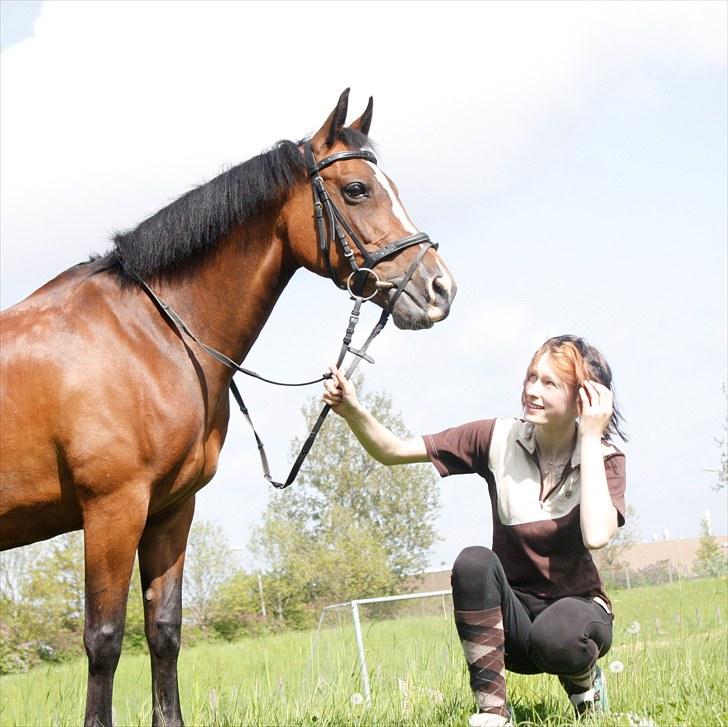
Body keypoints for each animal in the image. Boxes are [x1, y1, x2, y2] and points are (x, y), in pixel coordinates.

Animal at [0, 92, 456, 727]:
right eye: (357, 189)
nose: (439, 289)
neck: (151, 334)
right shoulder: (112, 509)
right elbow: (105, 640)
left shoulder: (171, 510)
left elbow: (164, 632)